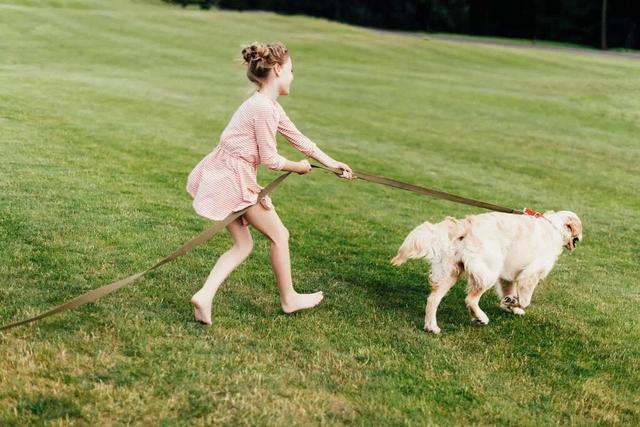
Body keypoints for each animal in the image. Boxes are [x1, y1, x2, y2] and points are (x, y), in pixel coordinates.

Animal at [392, 211, 584, 334]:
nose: (581, 239)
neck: (555, 228)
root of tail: (467, 224)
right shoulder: (530, 274)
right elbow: (525, 300)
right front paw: (514, 303)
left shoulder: (508, 276)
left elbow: (509, 292)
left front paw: (510, 304)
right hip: (489, 271)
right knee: (470, 299)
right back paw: (480, 317)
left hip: (450, 272)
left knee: (433, 299)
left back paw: (432, 327)